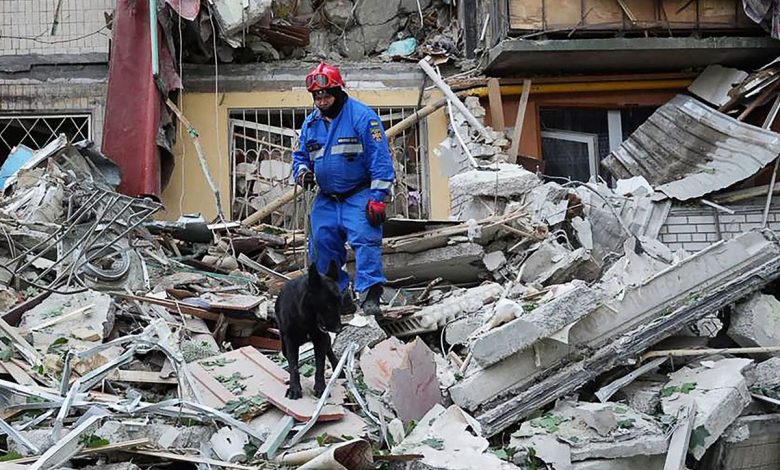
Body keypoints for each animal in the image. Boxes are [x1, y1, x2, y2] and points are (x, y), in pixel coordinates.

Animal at [275, 262, 343, 399]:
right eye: (328, 305)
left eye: (339, 302)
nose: (339, 329)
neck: (305, 318)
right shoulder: (290, 341)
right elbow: (293, 366)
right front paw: (294, 388)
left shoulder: (320, 339)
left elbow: (320, 366)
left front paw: (321, 388)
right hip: (284, 346)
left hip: (326, 339)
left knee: (329, 350)